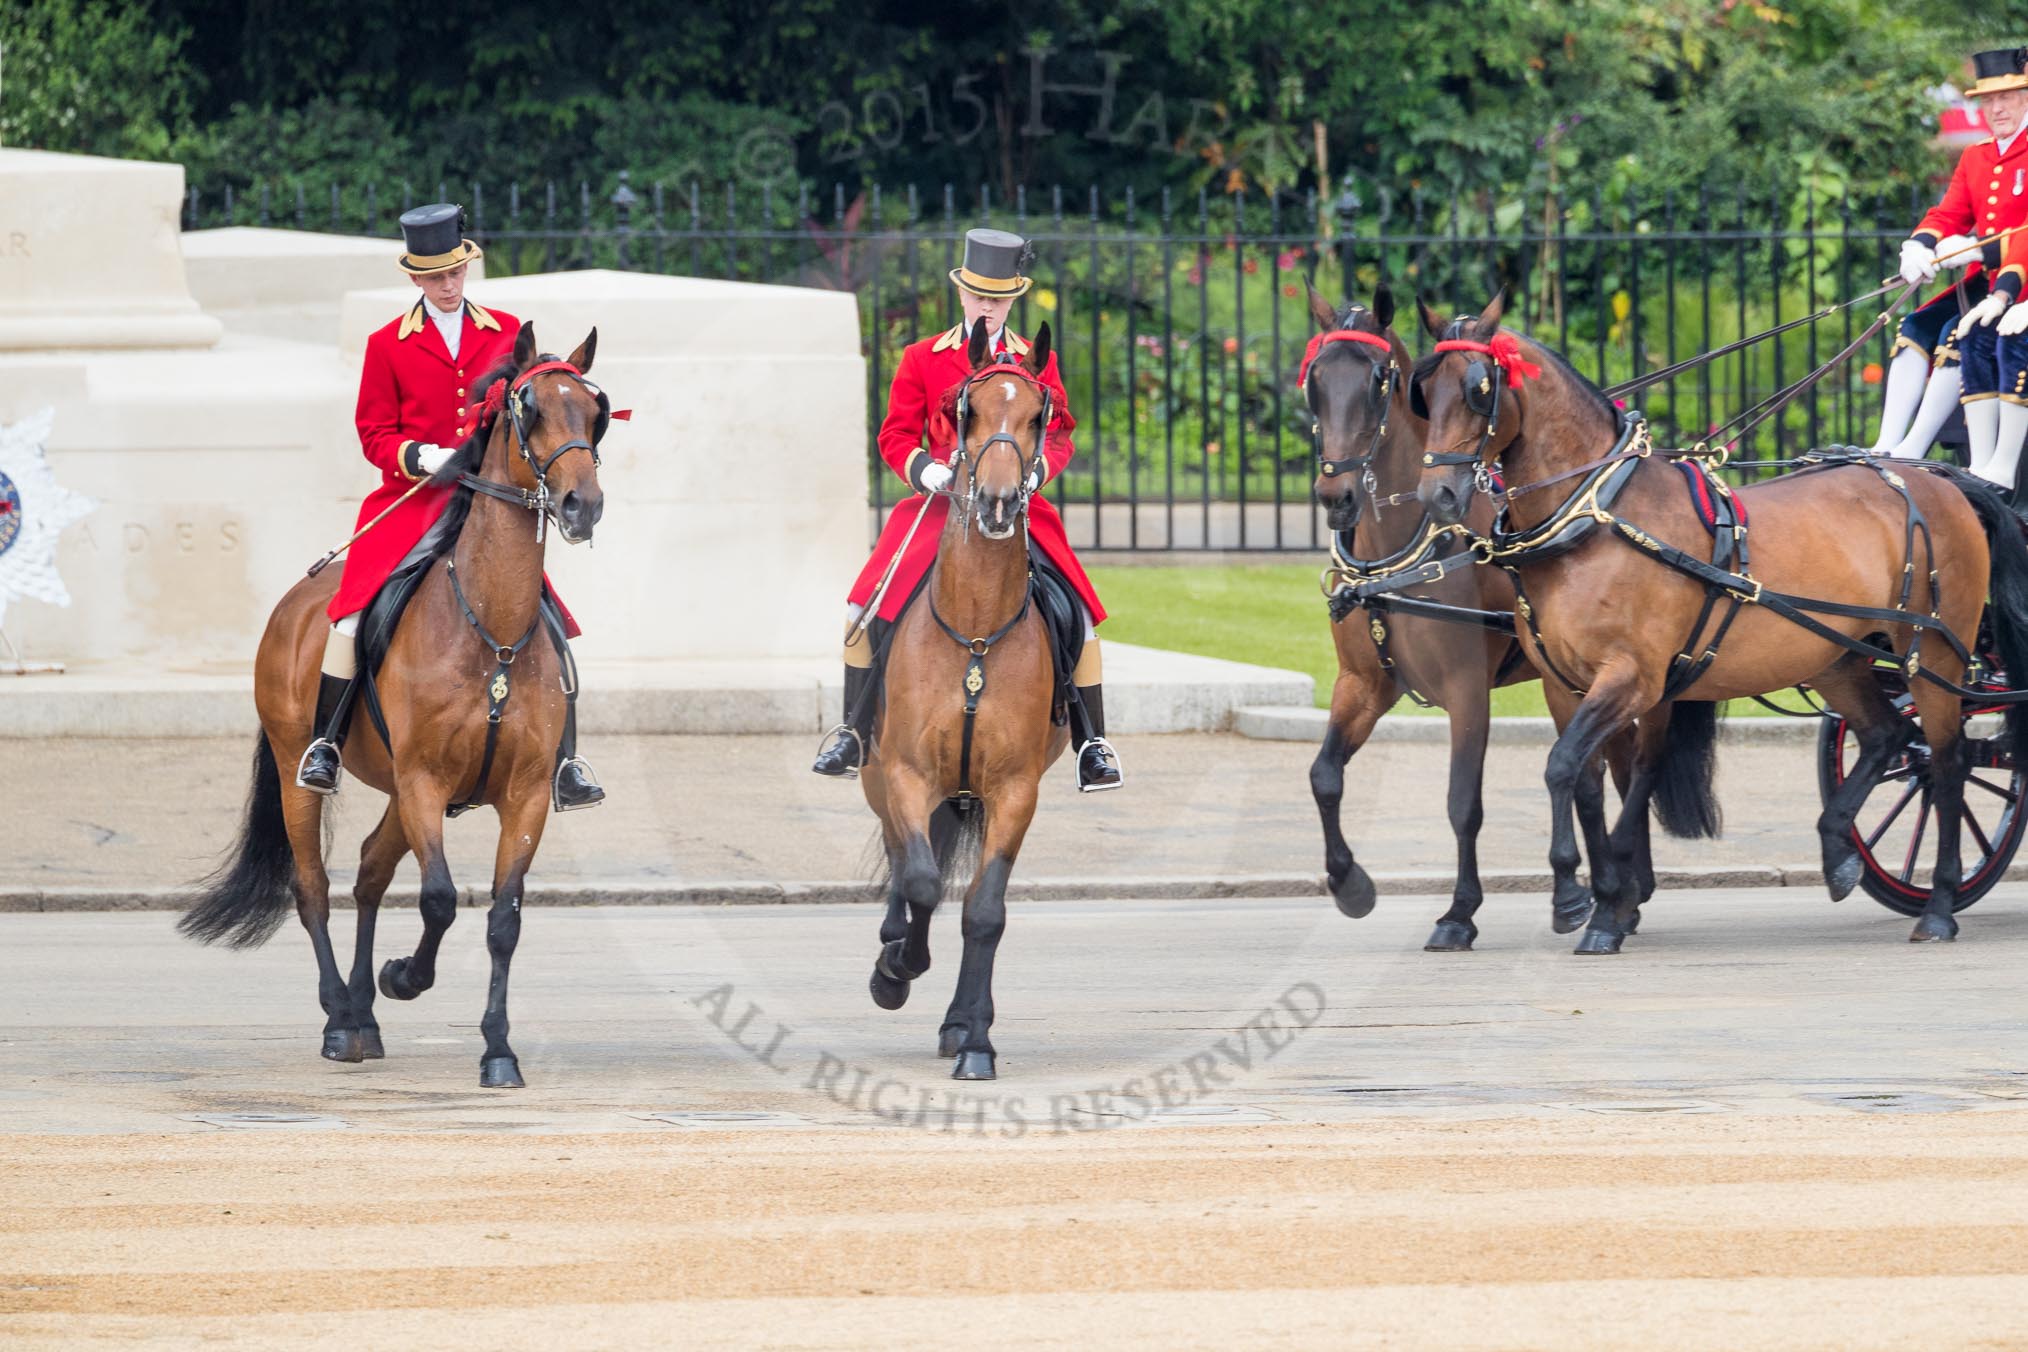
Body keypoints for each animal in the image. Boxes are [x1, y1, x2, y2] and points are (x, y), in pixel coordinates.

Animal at [180, 328, 608, 1086]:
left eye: (595, 411)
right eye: (528, 409)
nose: (582, 505)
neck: (491, 626)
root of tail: (296, 603)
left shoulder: (525, 793)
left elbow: (504, 919)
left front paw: (498, 1048)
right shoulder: (423, 782)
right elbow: (439, 899)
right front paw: (404, 975)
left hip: (399, 795)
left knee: (372, 873)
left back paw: (363, 1014)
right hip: (302, 769)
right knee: (313, 887)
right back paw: (338, 1017)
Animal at [855, 318, 1078, 1078]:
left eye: (1040, 414)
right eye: (965, 409)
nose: (1002, 501)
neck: (976, 627)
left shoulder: (1014, 789)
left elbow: (984, 910)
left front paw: (973, 1036)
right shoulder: (905, 772)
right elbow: (922, 880)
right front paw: (895, 969)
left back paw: (957, 1019)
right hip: (877, 776)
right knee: (902, 858)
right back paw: (893, 945)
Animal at [1297, 287, 1662, 940]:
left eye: (1379, 381)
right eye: (1315, 380)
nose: (1336, 497)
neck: (1405, 546)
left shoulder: (1468, 690)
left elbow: (1462, 801)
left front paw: (1460, 911)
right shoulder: (1363, 683)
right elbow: (1325, 776)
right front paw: (1349, 883)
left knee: (1601, 774)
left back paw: (1599, 891)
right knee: (1605, 772)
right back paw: (1614, 889)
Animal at [1419, 295, 2028, 952]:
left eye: (1478, 389)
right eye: (1422, 390)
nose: (1438, 496)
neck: (1593, 515)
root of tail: (1944, 480)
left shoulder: (1632, 678)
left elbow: (1568, 767)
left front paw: (1590, 899)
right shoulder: (1569, 683)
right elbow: (1588, 777)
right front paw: (1605, 897)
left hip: (1934, 657)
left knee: (1947, 764)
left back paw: (1938, 904)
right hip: (1839, 658)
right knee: (1890, 737)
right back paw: (1840, 847)